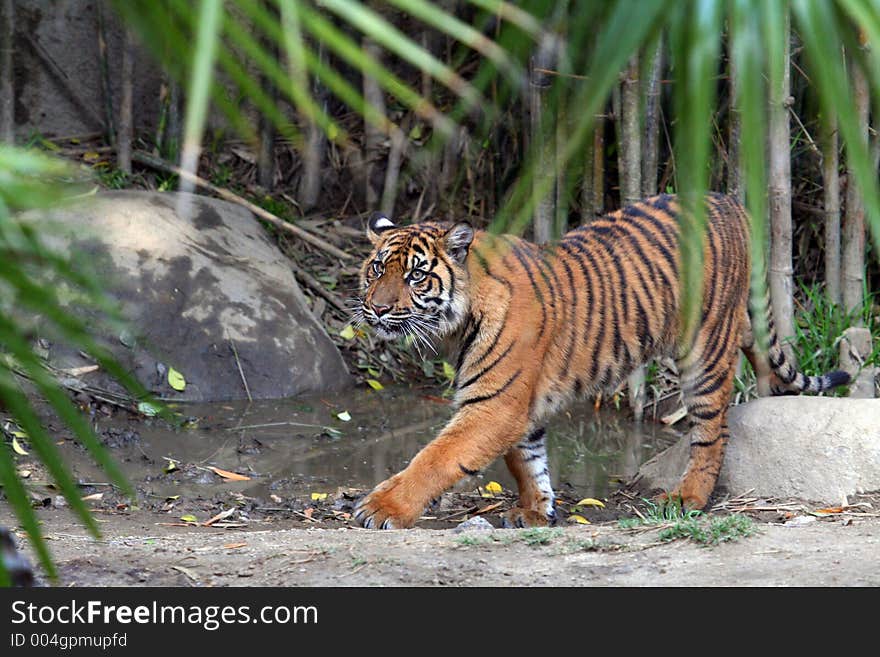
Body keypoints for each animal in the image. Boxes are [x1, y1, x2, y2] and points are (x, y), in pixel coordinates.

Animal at [352, 193, 852, 528]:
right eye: (377, 269)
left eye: (416, 275)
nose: (376, 308)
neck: (459, 320)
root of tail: (731, 203)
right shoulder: (518, 403)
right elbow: (526, 460)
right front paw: (536, 510)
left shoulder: (495, 405)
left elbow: (437, 458)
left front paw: (381, 509)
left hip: (703, 350)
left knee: (713, 431)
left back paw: (687, 498)